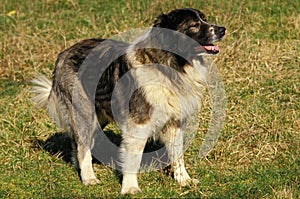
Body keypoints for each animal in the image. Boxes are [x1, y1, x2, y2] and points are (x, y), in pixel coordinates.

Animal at [32, 7, 225, 194]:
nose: (222, 29)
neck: (168, 65)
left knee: (77, 142)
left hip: (98, 117)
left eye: (204, 19)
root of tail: (64, 53)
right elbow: (133, 158)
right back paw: (89, 178)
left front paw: (183, 180)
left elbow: (177, 154)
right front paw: (130, 188)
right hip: (85, 113)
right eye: (194, 25)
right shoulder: (138, 124)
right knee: (82, 146)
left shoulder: (174, 122)